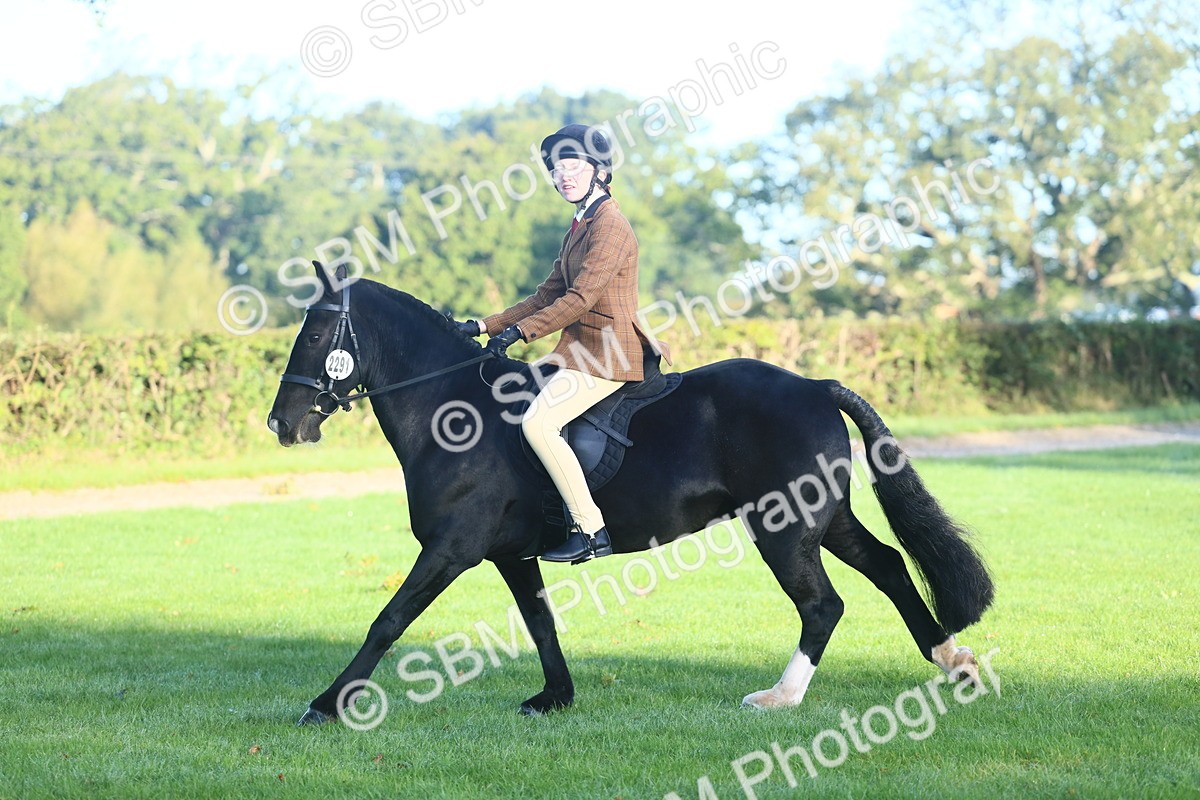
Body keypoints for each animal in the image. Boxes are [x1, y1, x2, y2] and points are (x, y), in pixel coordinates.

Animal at [267, 263, 994, 725]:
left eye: (314, 334)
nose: (283, 424)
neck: (453, 409)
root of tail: (814, 385)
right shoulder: (511, 554)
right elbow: (541, 623)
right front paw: (554, 698)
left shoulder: (452, 548)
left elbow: (388, 621)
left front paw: (326, 705)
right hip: (824, 516)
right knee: (890, 567)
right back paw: (952, 660)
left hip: (782, 527)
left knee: (823, 604)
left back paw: (778, 699)